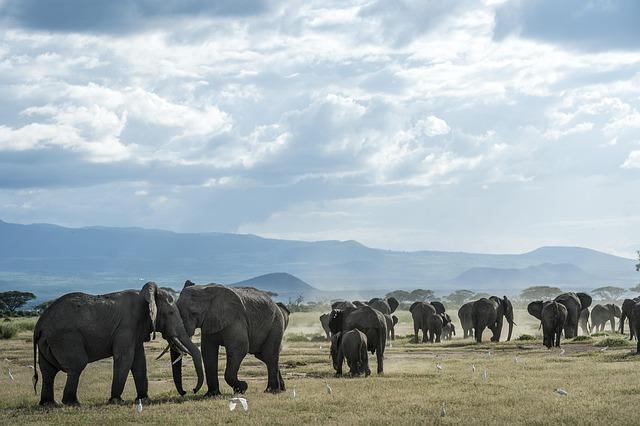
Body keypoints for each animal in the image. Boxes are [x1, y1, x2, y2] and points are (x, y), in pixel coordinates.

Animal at [31, 282, 202, 406]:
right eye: (171, 313)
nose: (189, 391)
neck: (147, 296)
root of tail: (39, 325)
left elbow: (139, 361)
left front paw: (143, 399)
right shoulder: (126, 326)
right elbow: (125, 358)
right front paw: (117, 401)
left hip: (48, 342)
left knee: (48, 371)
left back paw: (49, 404)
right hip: (65, 338)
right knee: (76, 365)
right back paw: (72, 403)